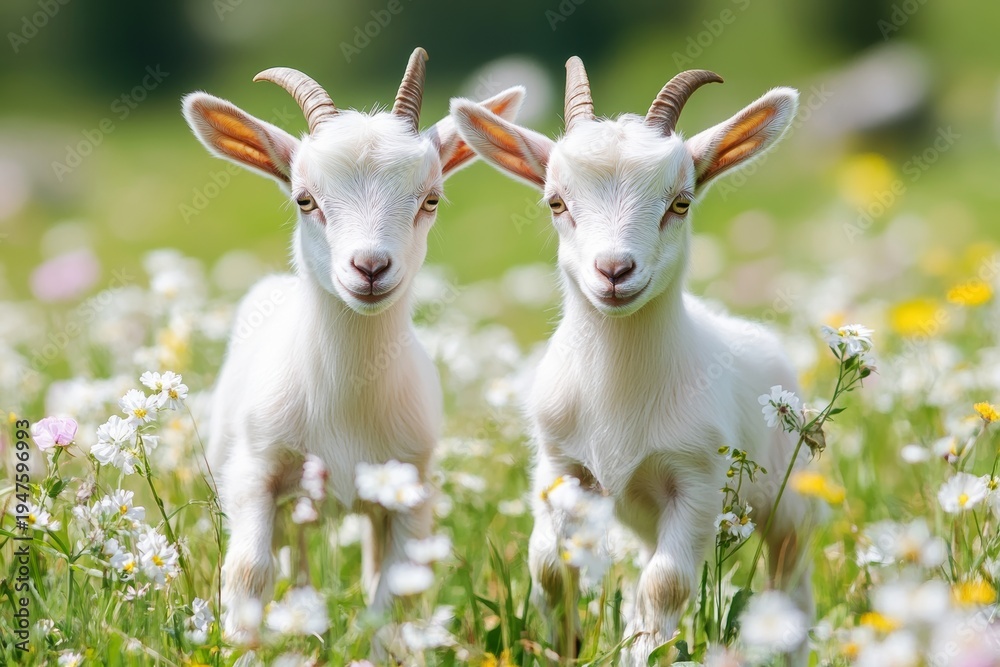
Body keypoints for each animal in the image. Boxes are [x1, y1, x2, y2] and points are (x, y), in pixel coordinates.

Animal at [182, 48, 525, 644]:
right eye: (304, 198)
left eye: (431, 198)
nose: (369, 267)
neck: (345, 400)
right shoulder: (255, 472)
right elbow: (248, 570)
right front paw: (243, 646)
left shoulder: (411, 484)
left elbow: (396, 588)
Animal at [452, 58, 813, 665]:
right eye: (556, 202)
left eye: (681, 202)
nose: (615, 271)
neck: (618, 392)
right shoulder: (561, 467)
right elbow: (549, 567)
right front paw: (569, 644)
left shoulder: (697, 479)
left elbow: (666, 583)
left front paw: (640, 653)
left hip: (789, 491)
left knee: (790, 564)